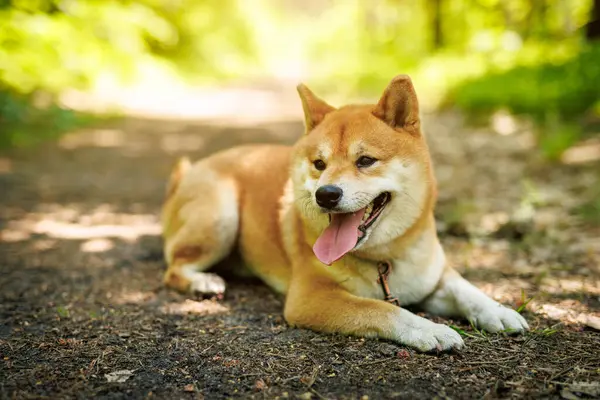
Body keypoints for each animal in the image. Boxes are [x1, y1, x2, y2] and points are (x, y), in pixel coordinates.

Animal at [161, 74, 528, 350]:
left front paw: (498, 310)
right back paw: (202, 281)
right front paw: (430, 329)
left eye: (365, 161)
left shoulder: (432, 277)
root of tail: (188, 174)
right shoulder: (311, 297)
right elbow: (380, 308)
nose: (326, 194)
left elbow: (467, 289)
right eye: (319, 164)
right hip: (220, 218)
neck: (385, 259)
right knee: (173, 268)